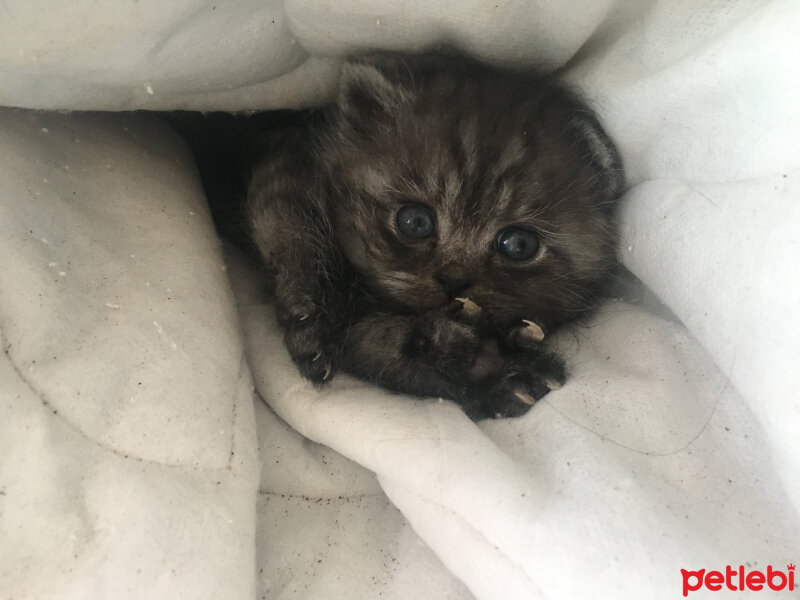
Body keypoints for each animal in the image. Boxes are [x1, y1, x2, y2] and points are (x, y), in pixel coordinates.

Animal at [175, 52, 624, 422]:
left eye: (518, 245)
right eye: (415, 222)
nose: (454, 281)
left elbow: (372, 344)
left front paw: (488, 364)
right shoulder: (284, 158)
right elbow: (292, 228)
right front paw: (311, 316)